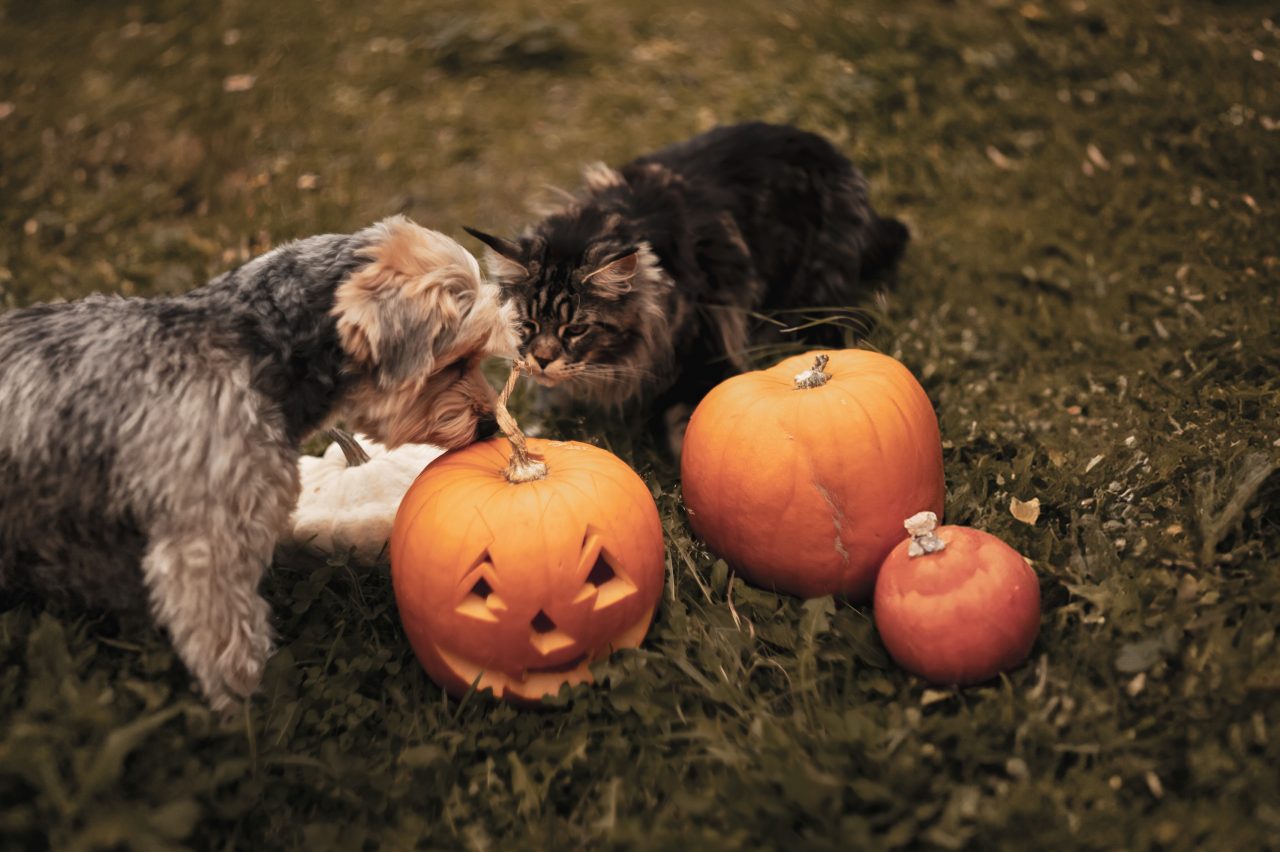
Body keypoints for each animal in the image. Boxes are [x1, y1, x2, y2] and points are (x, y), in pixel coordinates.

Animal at [2, 216, 519, 706]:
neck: (255, 350)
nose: (490, 426)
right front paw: (247, 710)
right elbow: (228, 636)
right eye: (458, 361)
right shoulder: (207, 543)